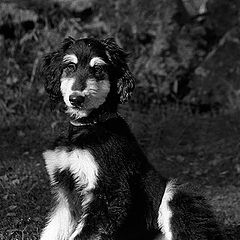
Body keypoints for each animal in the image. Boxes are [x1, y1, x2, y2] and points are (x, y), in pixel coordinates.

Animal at [39, 37, 225, 240]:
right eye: (70, 66)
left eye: (98, 69)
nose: (76, 99)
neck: (89, 124)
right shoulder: (65, 190)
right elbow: (53, 230)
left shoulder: (108, 191)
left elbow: (85, 233)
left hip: (176, 195)